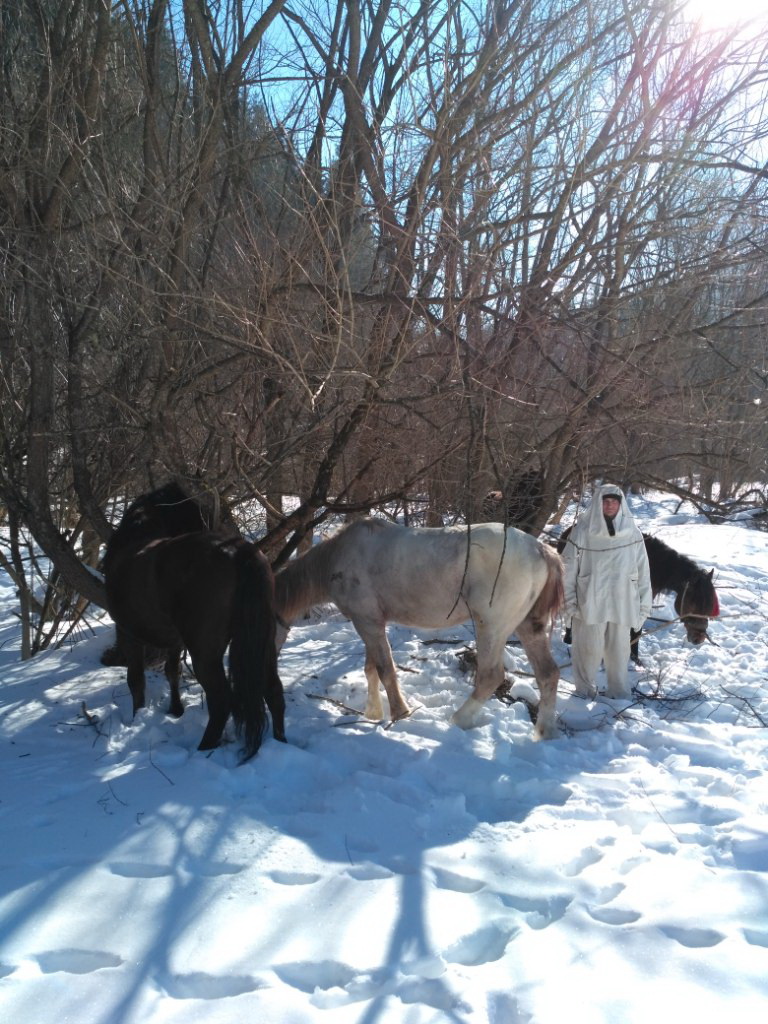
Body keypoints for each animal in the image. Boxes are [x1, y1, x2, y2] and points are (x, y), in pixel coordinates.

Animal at [100, 485, 284, 761]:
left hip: (205, 654)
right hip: (263, 641)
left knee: (221, 701)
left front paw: (136, 718)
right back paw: (282, 743)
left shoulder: (127, 633)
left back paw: (204, 748)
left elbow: (136, 681)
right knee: (274, 691)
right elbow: (172, 671)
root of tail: (239, 552)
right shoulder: (174, 640)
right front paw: (176, 710)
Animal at [274, 520, 561, 737]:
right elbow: (371, 669)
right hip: (528, 627)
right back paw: (542, 734)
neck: (339, 557)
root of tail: (540, 549)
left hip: (491, 627)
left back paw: (457, 720)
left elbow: (385, 668)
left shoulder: (367, 622)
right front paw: (373, 713)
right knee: (548, 674)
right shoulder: (370, 621)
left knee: (491, 676)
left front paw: (399, 713)